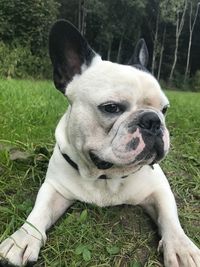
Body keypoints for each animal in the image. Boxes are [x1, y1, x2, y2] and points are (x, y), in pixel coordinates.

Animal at [0, 19, 200, 266]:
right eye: (111, 108)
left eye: (164, 110)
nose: (153, 121)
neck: (106, 175)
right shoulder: (54, 187)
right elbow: (39, 210)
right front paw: (22, 238)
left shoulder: (159, 188)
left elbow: (169, 216)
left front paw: (181, 248)